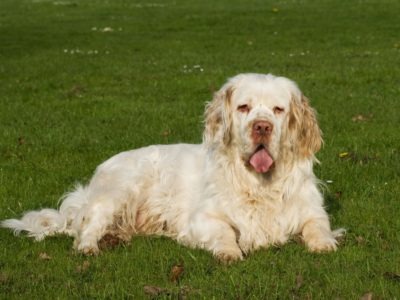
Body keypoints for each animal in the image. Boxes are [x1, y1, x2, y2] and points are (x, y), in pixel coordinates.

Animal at [1, 73, 342, 262]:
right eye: (243, 107)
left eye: (278, 110)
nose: (262, 127)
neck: (260, 184)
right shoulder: (202, 219)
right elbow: (225, 233)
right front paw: (229, 252)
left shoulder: (312, 211)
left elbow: (317, 227)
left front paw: (324, 244)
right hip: (117, 192)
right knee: (86, 229)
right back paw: (90, 248)